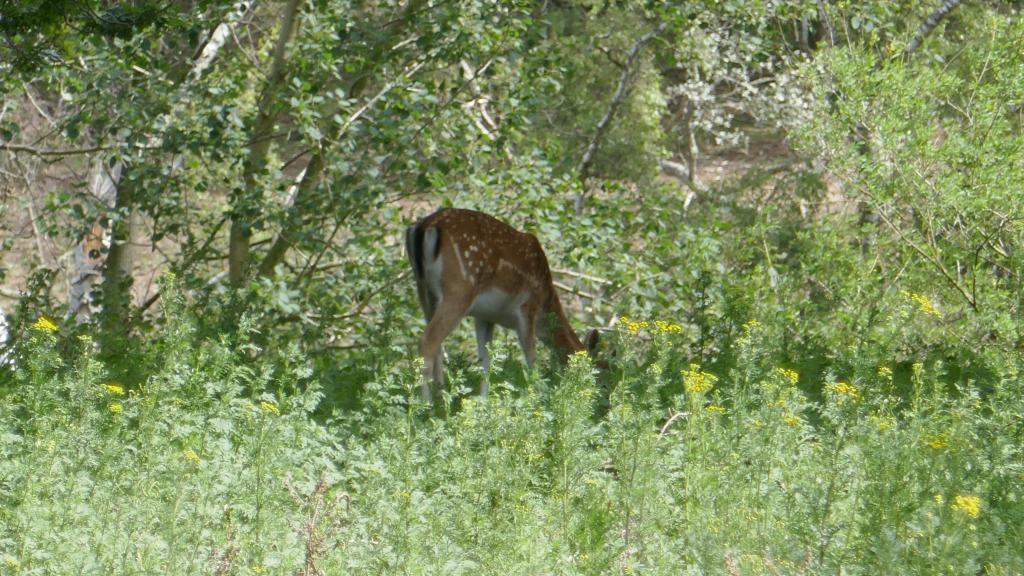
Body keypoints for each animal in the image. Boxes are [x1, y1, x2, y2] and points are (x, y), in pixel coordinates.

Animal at [405, 208, 598, 401]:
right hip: (459, 288)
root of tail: (424, 226)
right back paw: (425, 404)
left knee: (437, 345)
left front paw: (484, 401)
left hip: (424, 290)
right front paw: (535, 400)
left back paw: (440, 397)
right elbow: (531, 359)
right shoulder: (528, 307)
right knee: (428, 340)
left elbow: (486, 360)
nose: (593, 400)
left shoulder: (485, 316)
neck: (547, 303)